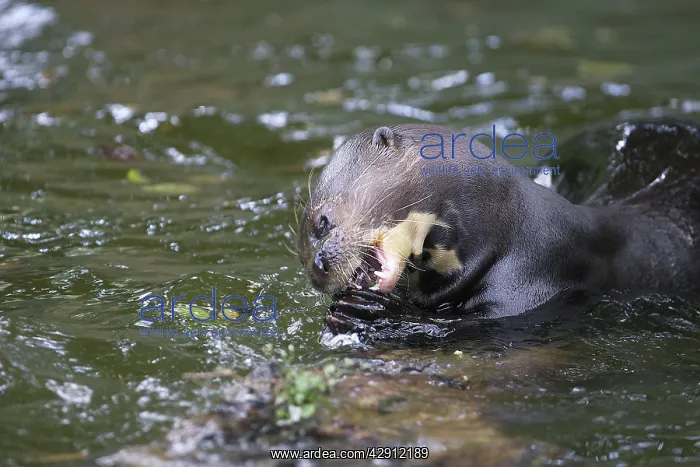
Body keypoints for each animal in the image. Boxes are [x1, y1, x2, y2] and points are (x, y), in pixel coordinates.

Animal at [296, 119, 700, 319]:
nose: (317, 270)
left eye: (323, 222)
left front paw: (374, 311)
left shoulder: (532, 276)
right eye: (301, 256)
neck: (506, 229)